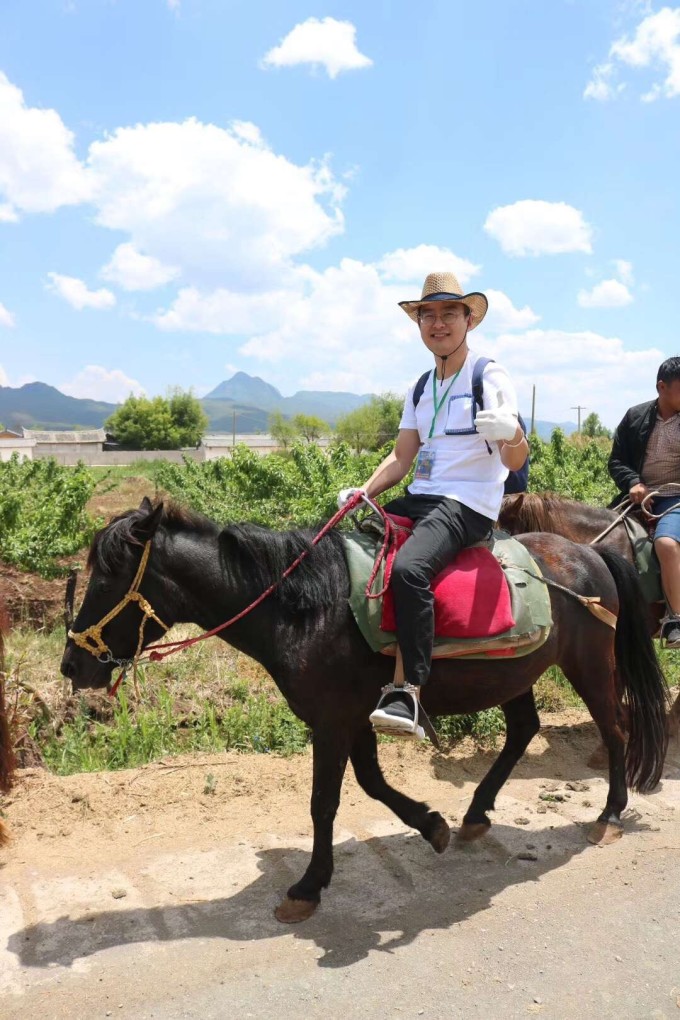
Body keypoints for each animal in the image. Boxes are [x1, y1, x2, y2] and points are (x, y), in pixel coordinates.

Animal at [61, 501, 668, 926]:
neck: (304, 607)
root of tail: (590, 554)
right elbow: (374, 784)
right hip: (515, 670)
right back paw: (475, 814)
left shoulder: (332, 722)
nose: (72, 665)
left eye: (108, 579)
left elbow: (324, 803)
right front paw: (431, 825)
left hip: (589, 665)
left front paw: (308, 886)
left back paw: (610, 815)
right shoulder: (352, 718)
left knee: (616, 729)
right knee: (523, 731)